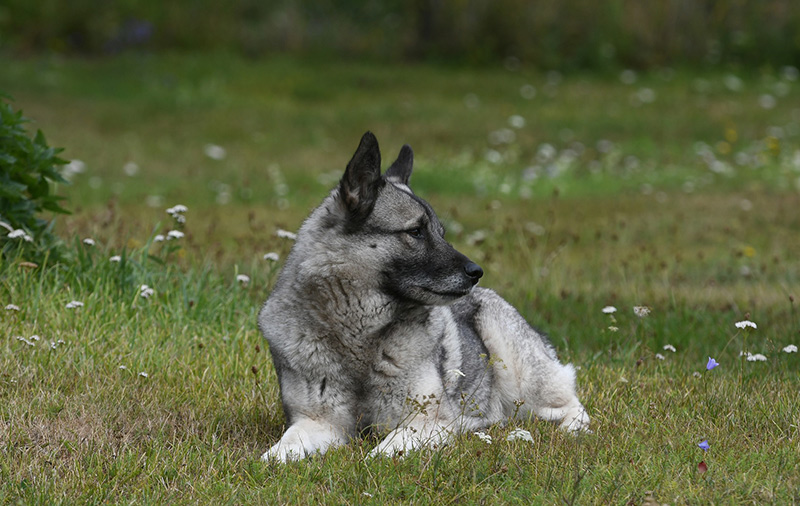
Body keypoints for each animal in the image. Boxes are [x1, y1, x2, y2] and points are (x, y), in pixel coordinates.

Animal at [260, 131, 592, 462]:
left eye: (440, 233)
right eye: (416, 231)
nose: (476, 272)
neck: (359, 336)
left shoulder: (427, 421)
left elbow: (382, 452)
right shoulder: (317, 422)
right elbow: (277, 452)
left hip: (521, 373)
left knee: (572, 406)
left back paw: (570, 430)